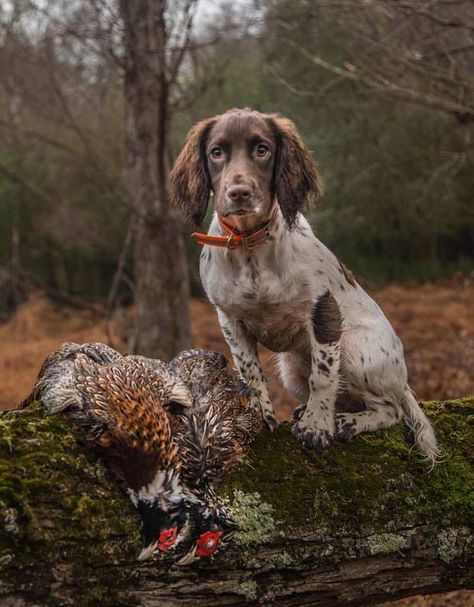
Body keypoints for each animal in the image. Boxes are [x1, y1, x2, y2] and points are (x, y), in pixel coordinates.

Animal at [168, 107, 438, 464]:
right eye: (216, 152)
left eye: (263, 150)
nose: (239, 193)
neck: (251, 245)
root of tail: (403, 380)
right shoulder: (229, 319)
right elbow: (250, 372)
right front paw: (260, 417)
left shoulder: (323, 310)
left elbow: (322, 377)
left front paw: (316, 427)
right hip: (290, 366)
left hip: (355, 349)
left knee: (391, 408)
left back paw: (347, 421)